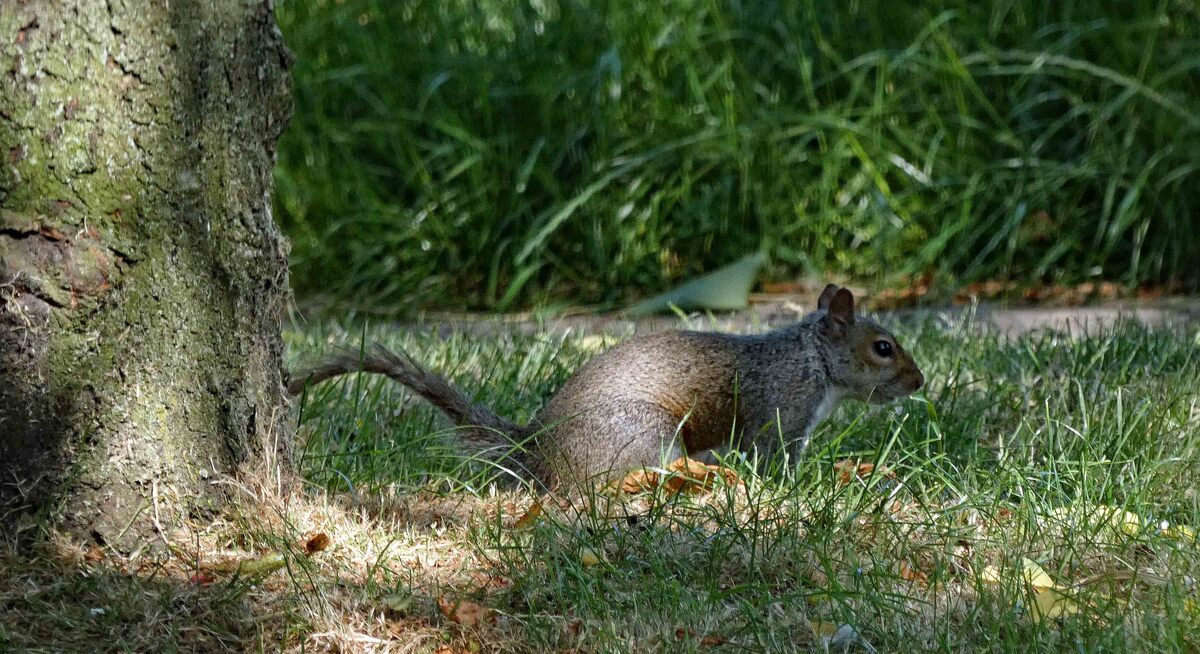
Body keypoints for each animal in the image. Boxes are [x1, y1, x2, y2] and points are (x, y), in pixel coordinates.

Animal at [288, 284, 924, 488]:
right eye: (883, 347)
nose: (919, 382)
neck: (811, 358)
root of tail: (536, 450)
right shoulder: (783, 413)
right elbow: (776, 460)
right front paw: (804, 486)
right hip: (644, 431)